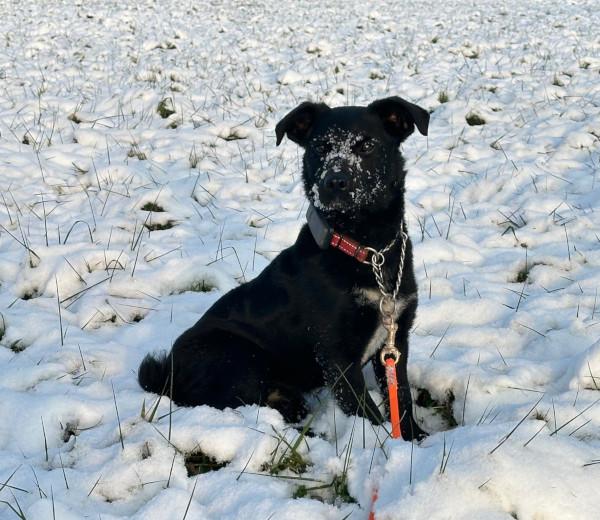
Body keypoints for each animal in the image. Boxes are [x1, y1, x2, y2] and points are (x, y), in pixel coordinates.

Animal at [138, 96, 429, 441]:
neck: (367, 249)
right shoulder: (336, 355)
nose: (334, 182)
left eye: (367, 145)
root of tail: (169, 373)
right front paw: (381, 444)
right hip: (238, 357)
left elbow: (402, 395)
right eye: (320, 147)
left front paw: (414, 437)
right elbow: (365, 411)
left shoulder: (396, 341)